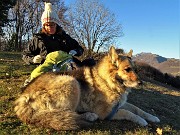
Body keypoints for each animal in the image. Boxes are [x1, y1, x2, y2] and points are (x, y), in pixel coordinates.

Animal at [14, 46, 160, 130]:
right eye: (127, 69)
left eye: (135, 69)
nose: (141, 83)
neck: (107, 80)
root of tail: (23, 96)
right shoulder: (106, 113)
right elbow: (128, 112)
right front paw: (141, 120)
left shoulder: (120, 104)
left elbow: (137, 109)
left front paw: (151, 117)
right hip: (72, 82)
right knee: (67, 114)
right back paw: (89, 116)